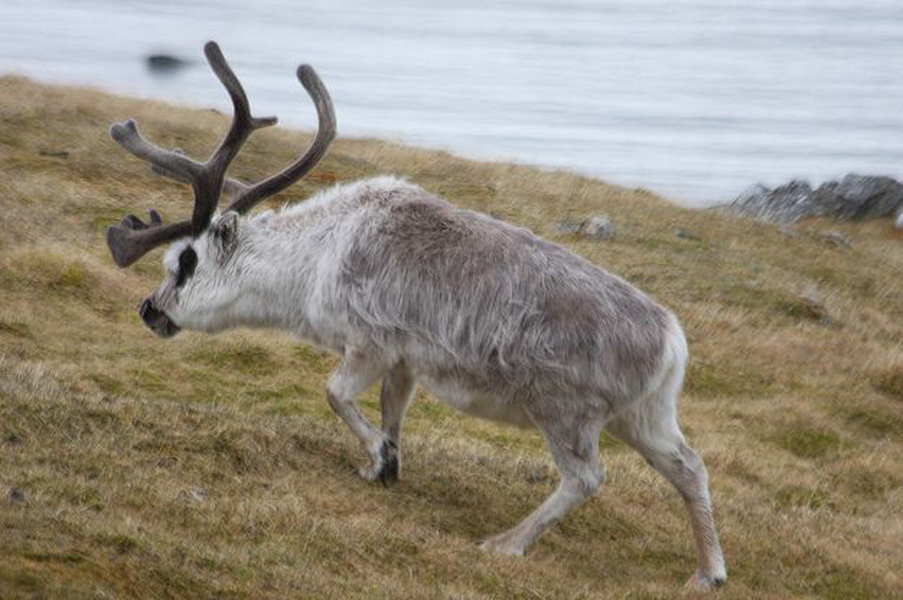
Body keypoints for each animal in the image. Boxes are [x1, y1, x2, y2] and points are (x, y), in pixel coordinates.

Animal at [105, 41, 726, 591]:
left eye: (183, 261)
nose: (149, 310)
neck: (314, 258)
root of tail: (672, 343)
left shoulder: (370, 342)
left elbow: (335, 393)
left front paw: (378, 458)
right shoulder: (404, 362)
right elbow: (391, 410)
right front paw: (385, 464)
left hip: (566, 412)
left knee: (587, 477)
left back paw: (506, 543)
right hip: (645, 416)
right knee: (690, 466)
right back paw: (708, 572)